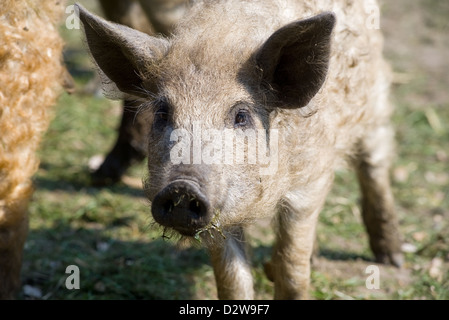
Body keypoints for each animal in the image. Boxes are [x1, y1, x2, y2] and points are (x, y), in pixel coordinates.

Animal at [77, 0, 402, 300]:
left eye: (241, 115)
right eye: (162, 112)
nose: (182, 187)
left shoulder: (309, 185)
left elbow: (291, 269)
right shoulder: (220, 212)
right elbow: (231, 280)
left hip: (374, 103)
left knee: (375, 166)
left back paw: (392, 259)